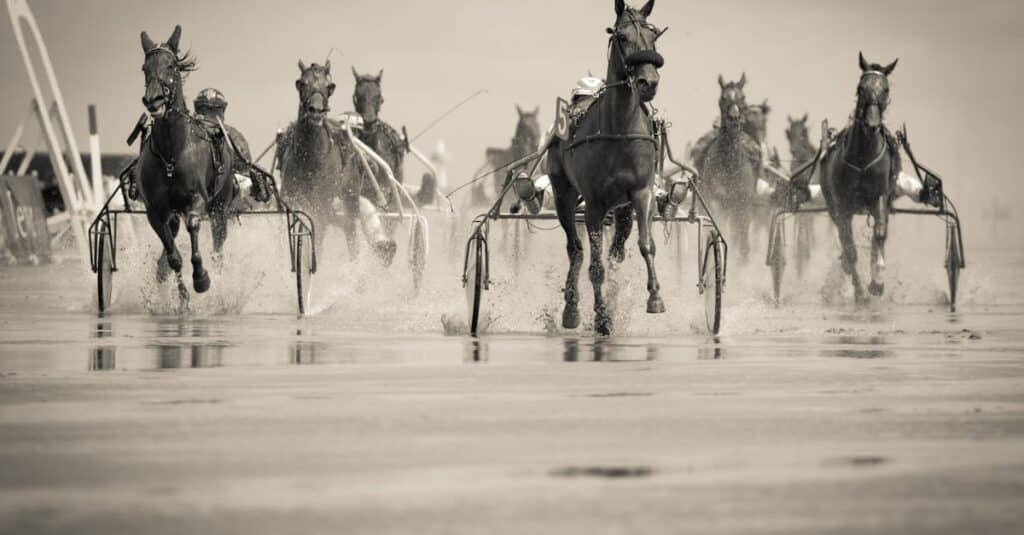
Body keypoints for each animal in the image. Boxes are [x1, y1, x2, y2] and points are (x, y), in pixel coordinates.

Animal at [135, 24, 236, 295]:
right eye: (145, 68)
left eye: (171, 65)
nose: (154, 100)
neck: (172, 152)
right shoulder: (155, 211)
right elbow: (172, 256)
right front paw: (181, 295)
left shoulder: (197, 200)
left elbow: (193, 224)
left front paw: (201, 278)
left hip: (220, 207)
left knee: (218, 245)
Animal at [276, 60, 395, 262]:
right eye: (302, 83)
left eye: (329, 86)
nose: (315, 111)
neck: (309, 158)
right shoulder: (293, 200)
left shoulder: (321, 206)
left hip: (350, 199)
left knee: (351, 233)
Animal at [548, 0, 667, 332]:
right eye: (622, 36)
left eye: (653, 37)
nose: (648, 82)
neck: (619, 130)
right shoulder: (593, 205)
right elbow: (595, 265)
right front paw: (601, 316)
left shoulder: (641, 193)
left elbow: (646, 245)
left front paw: (655, 297)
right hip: (563, 195)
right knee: (575, 250)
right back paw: (572, 308)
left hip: (622, 207)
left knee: (616, 249)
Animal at [700, 72, 765, 260]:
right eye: (723, 98)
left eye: (742, 97)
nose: (734, 119)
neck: (730, 166)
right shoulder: (716, 202)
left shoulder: (742, 204)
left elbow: (742, 242)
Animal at [819, 53, 901, 303]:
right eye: (860, 88)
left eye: (885, 88)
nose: (872, 124)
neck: (863, 158)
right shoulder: (842, 204)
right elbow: (850, 248)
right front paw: (860, 291)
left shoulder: (880, 196)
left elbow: (880, 234)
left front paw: (877, 282)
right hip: (833, 206)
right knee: (845, 240)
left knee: (878, 235)